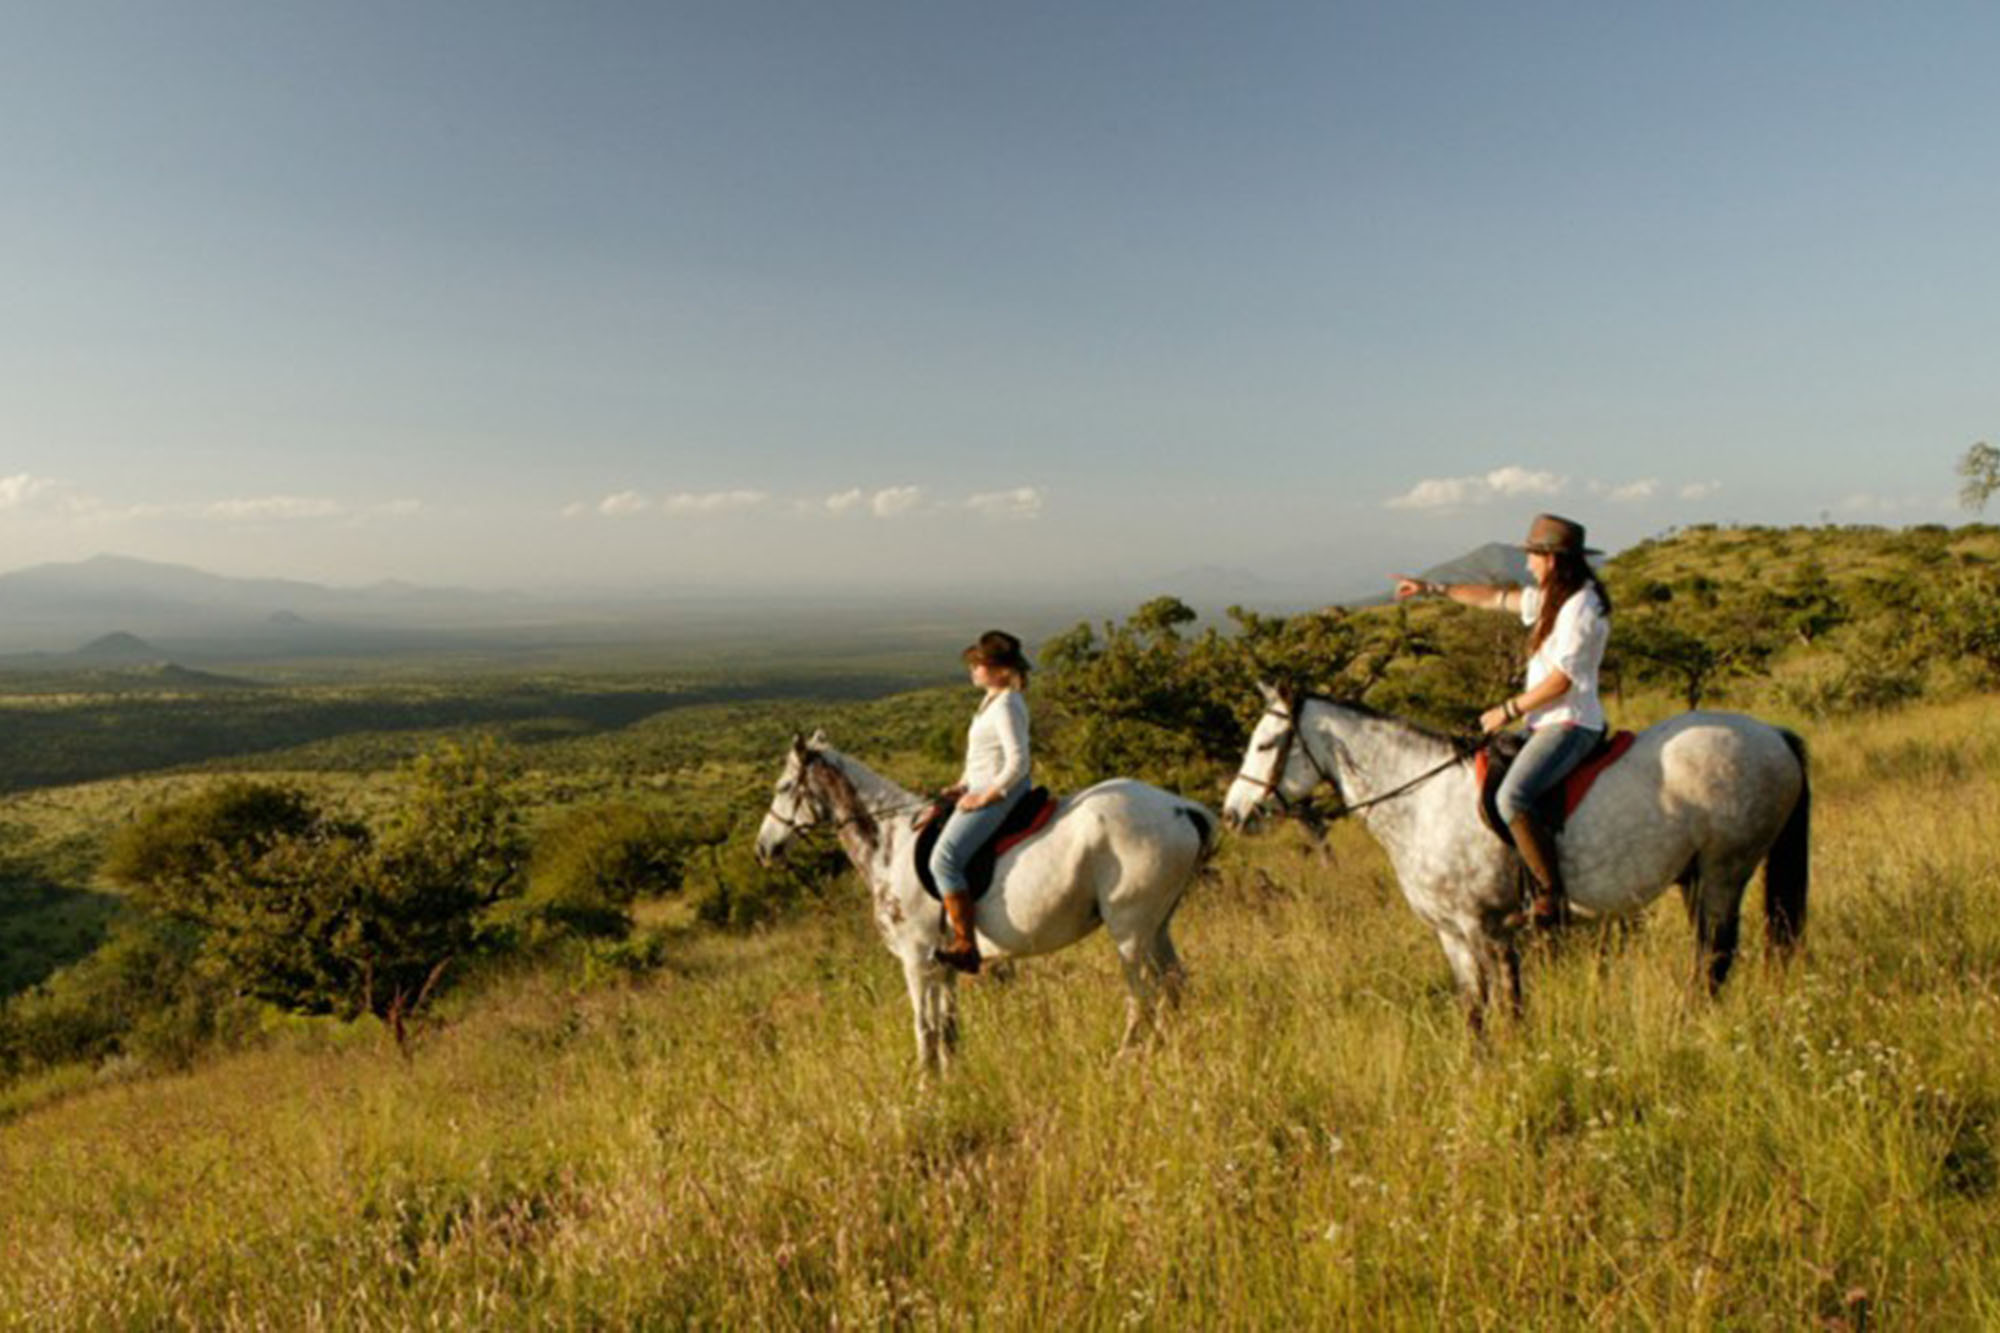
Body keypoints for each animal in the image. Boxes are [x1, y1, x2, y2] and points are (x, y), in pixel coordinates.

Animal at [752, 732, 1208, 1064]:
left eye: (784, 786)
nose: (763, 849)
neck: (891, 843)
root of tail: (1182, 809)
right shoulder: (945, 964)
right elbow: (948, 1028)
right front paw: (951, 1080)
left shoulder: (915, 958)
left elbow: (924, 1028)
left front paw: (924, 1089)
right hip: (1157, 925)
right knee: (1174, 985)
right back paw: (1168, 1047)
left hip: (1130, 929)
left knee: (1141, 995)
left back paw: (1125, 1056)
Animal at [1216, 688, 1816, 1020]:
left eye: (1266, 744)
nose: (1233, 813)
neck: (1422, 798)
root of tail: (1772, 734)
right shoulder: (1454, 933)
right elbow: (1478, 1008)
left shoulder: (1481, 927)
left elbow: (1501, 1003)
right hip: (1695, 876)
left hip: (1725, 869)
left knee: (1716, 955)